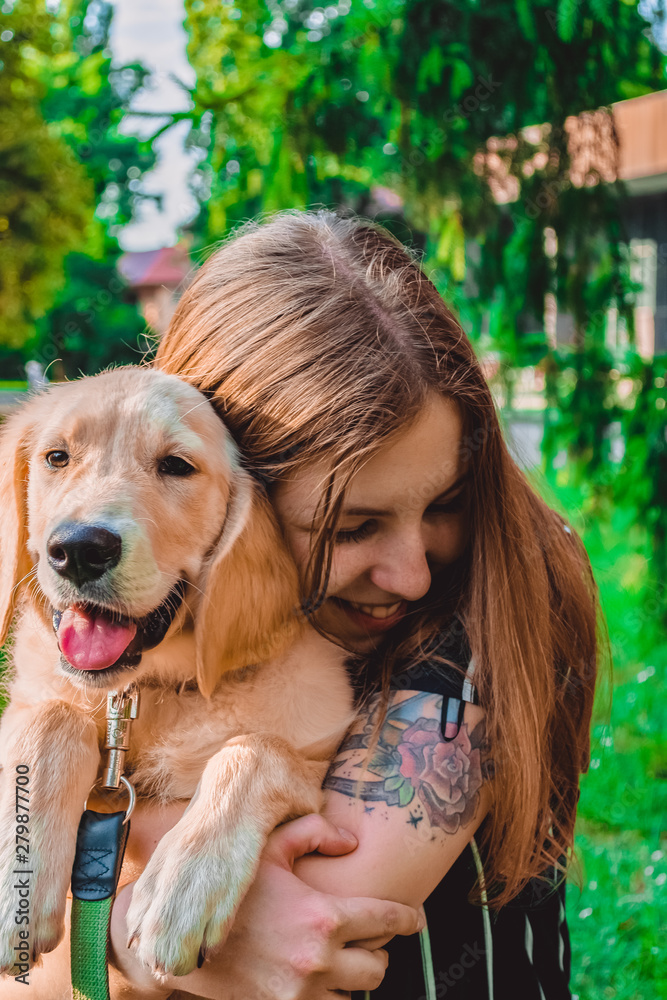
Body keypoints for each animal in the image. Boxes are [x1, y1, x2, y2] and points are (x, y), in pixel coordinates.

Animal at [0, 368, 354, 976]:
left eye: (176, 466)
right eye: (56, 457)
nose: (79, 549)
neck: (150, 693)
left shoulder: (320, 777)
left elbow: (256, 748)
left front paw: (182, 887)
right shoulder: (28, 707)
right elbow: (53, 719)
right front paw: (14, 884)